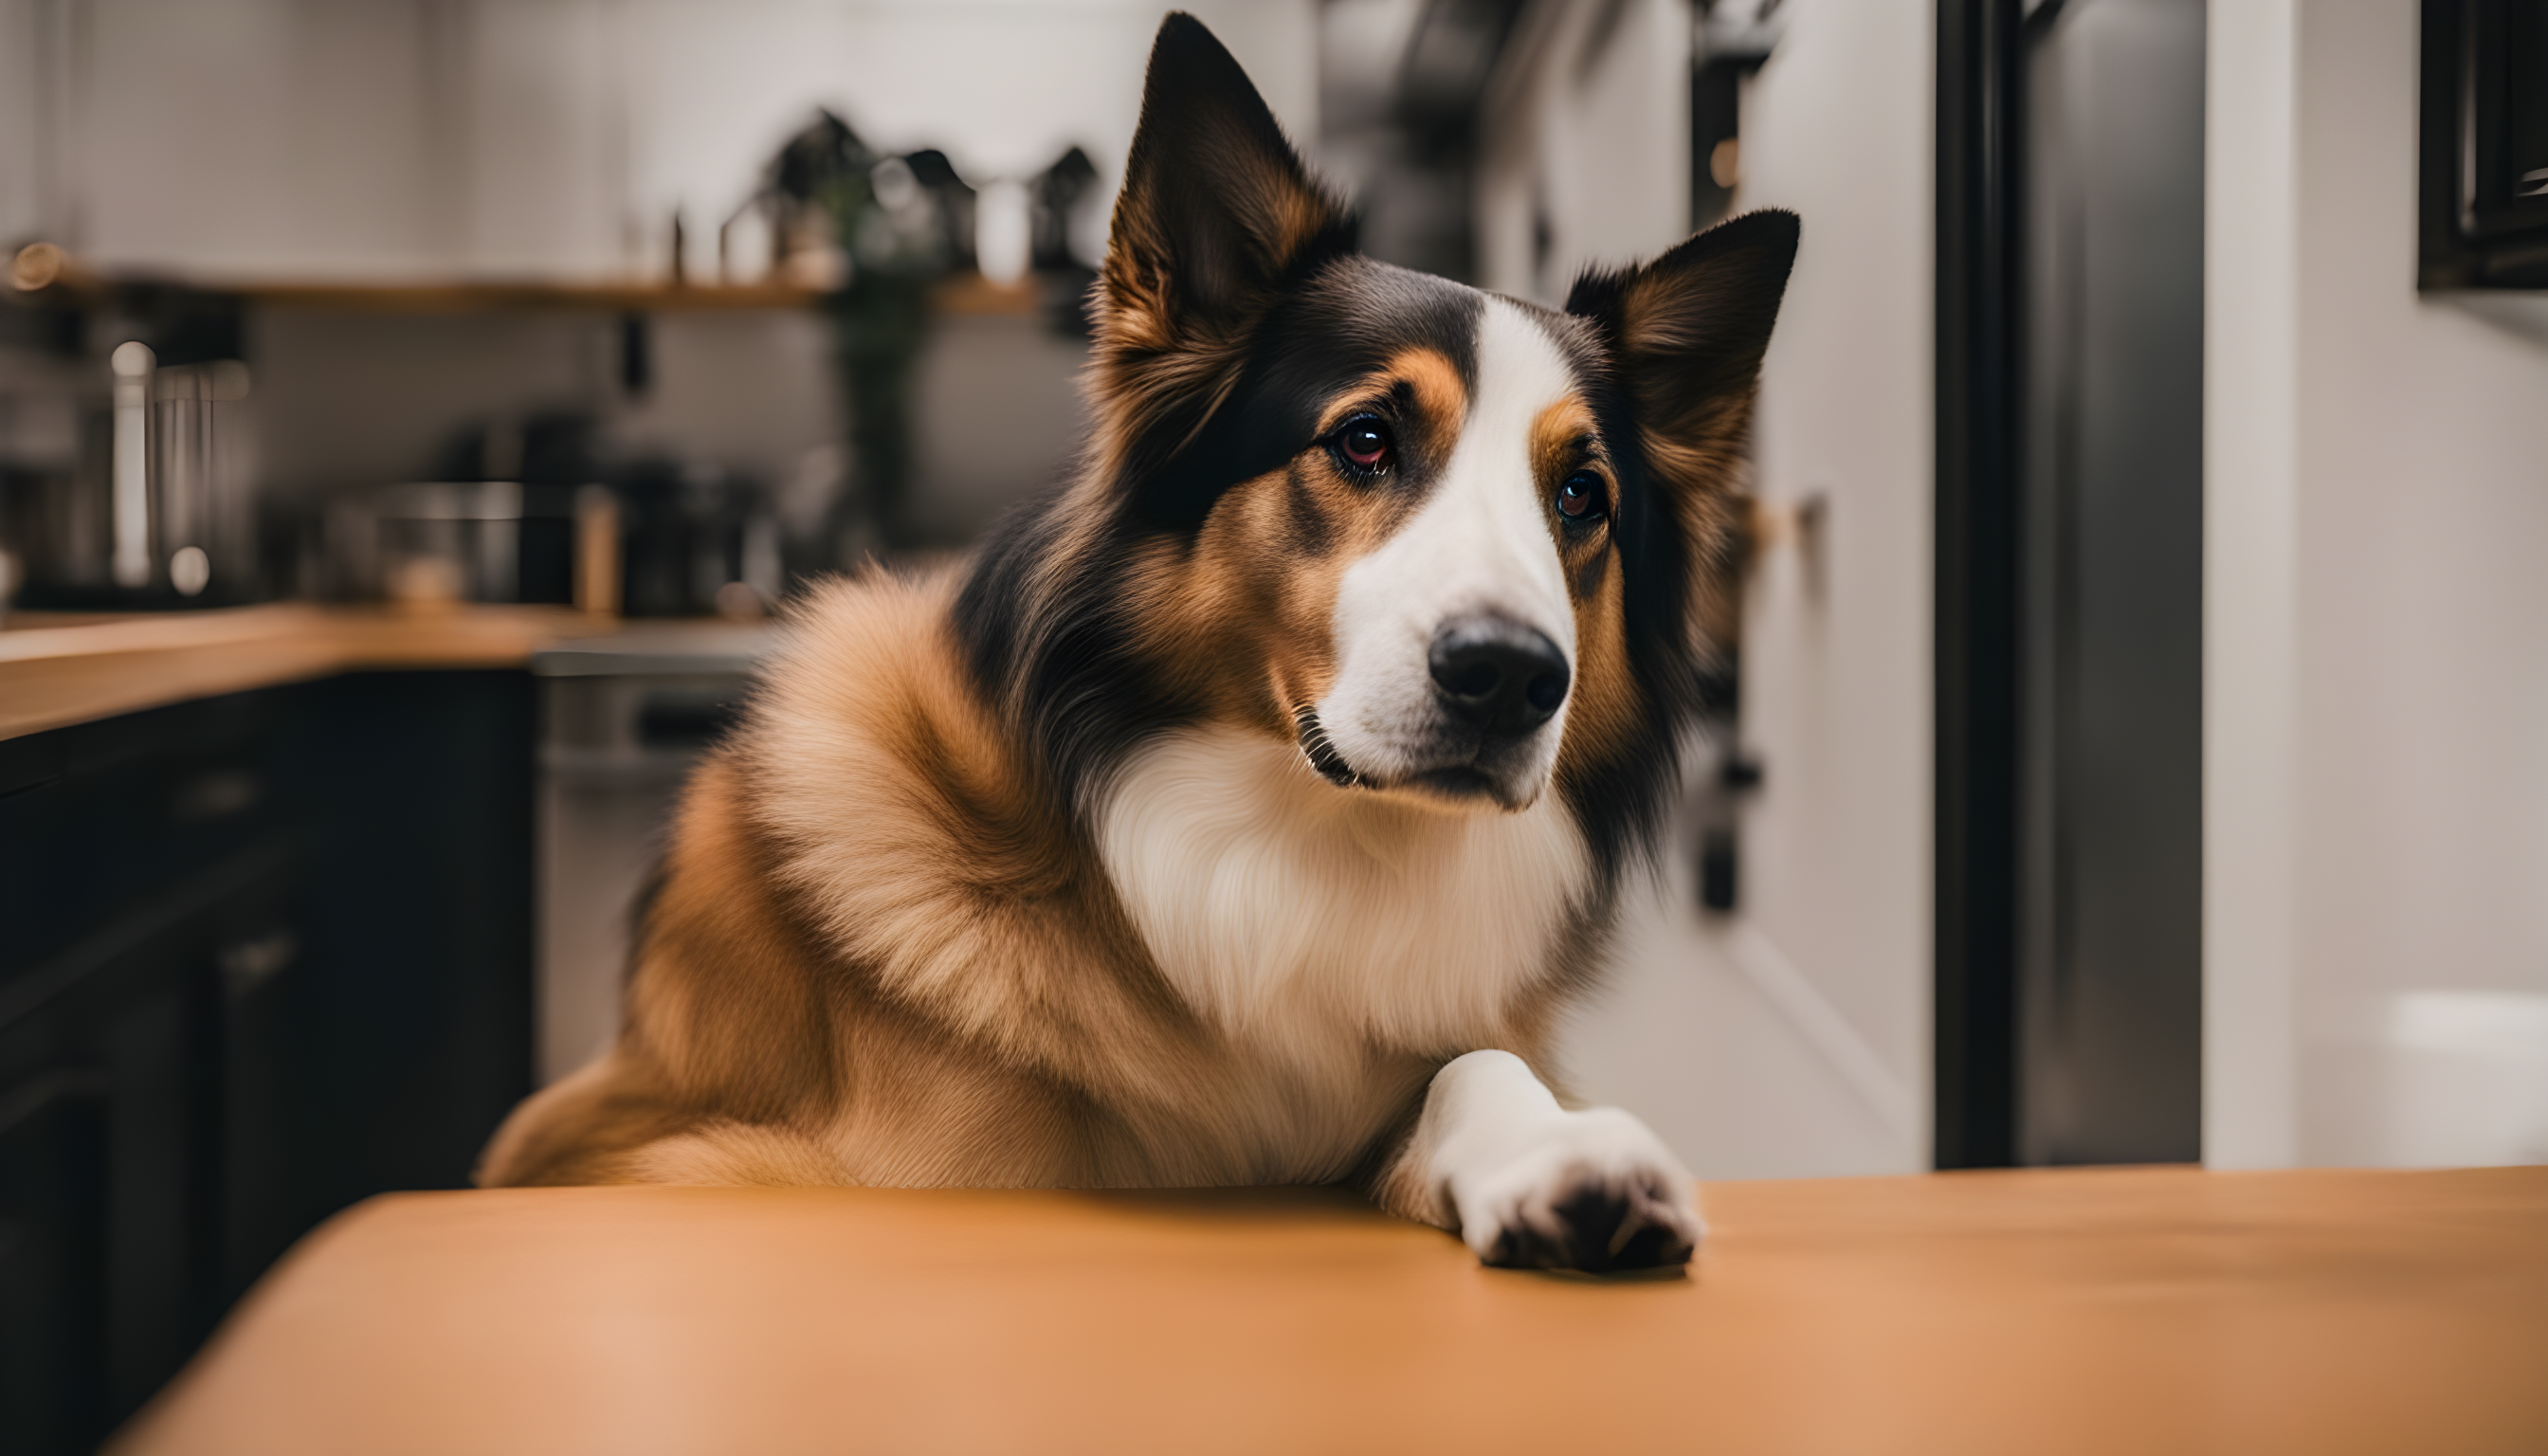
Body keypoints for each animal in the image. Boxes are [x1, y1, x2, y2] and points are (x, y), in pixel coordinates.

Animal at [479, 11, 1793, 1275]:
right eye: (1365, 440)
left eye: (1580, 498)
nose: (1512, 679)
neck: (1291, 847)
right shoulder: (656, 1155)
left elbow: (1474, 1066)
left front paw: (1562, 1159)